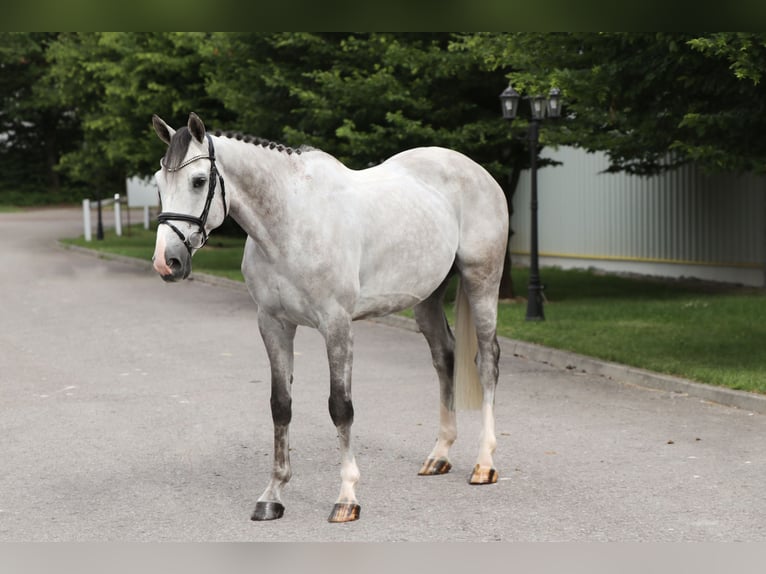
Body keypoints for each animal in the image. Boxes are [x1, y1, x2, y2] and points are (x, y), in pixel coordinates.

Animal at [150, 112, 509, 523]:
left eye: (198, 181)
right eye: (159, 183)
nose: (167, 262)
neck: (292, 223)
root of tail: (477, 171)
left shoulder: (337, 326)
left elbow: (340, 407)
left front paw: (347, 497)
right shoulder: (273, 324)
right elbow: (280, 405)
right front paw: (272, 495)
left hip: (483, 282)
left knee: (487, 362)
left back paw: (484, 463)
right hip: (427, 297)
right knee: (444, 357)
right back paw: (439, 455)